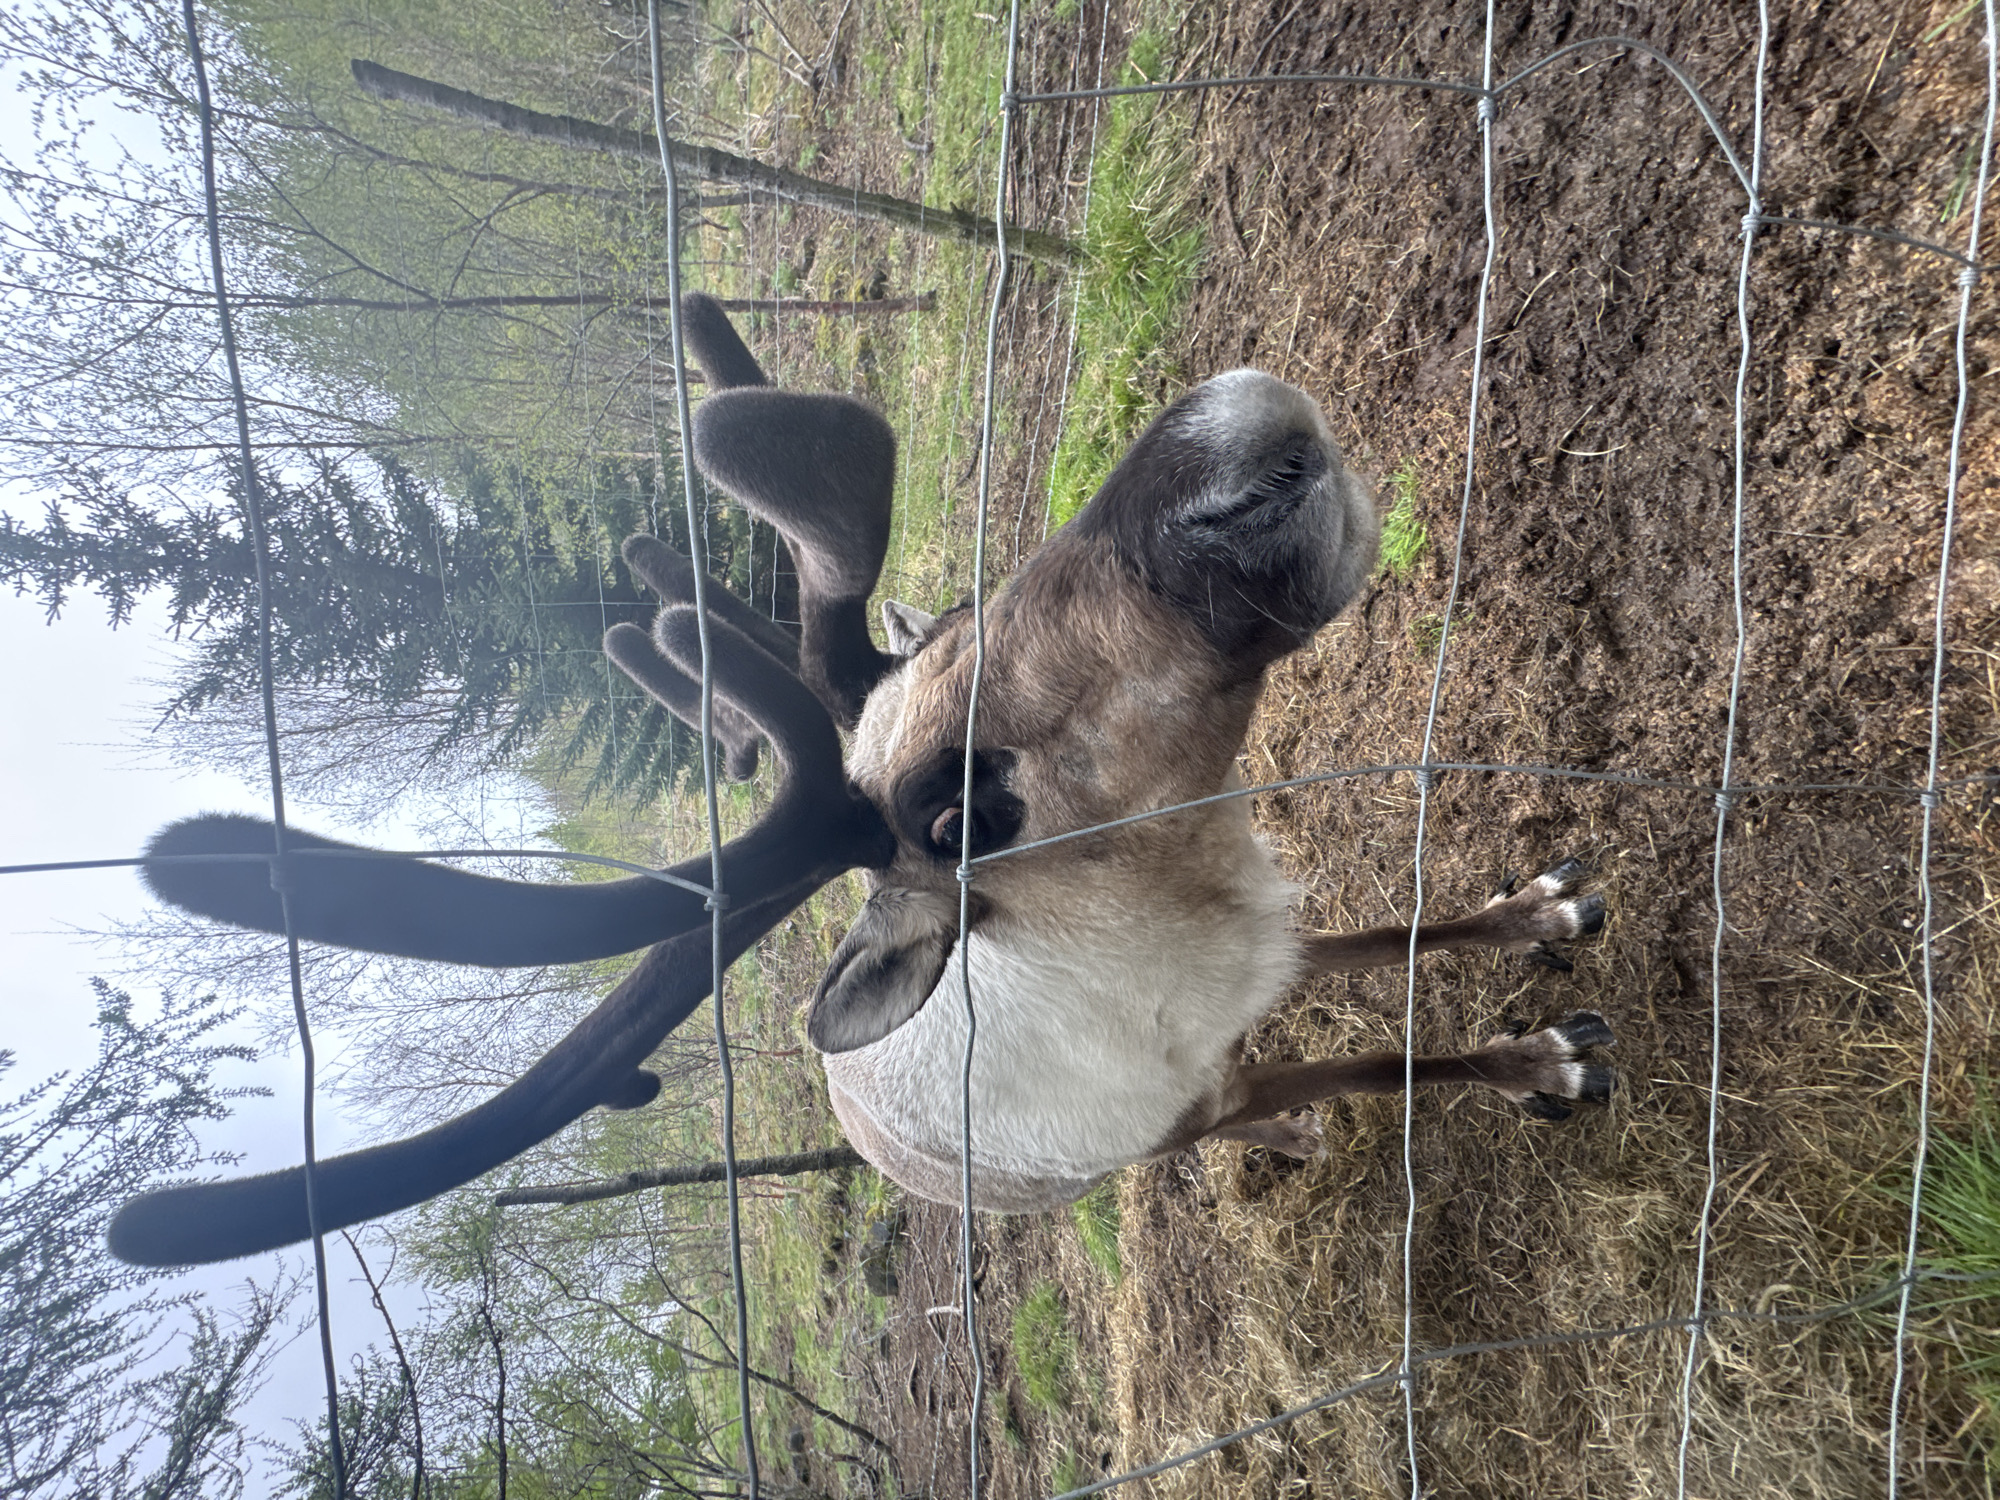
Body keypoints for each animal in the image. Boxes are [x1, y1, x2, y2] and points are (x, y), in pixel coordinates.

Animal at [110, 294, 1611, 1265]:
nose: (1219, 446)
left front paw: (1535, 917)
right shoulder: (1210, 1084)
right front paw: (1535, 1063)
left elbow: (1396, 937)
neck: (1173, 925)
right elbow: (1382, 1062)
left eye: (946, 615)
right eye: (956, 817)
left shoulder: (1271, 937)